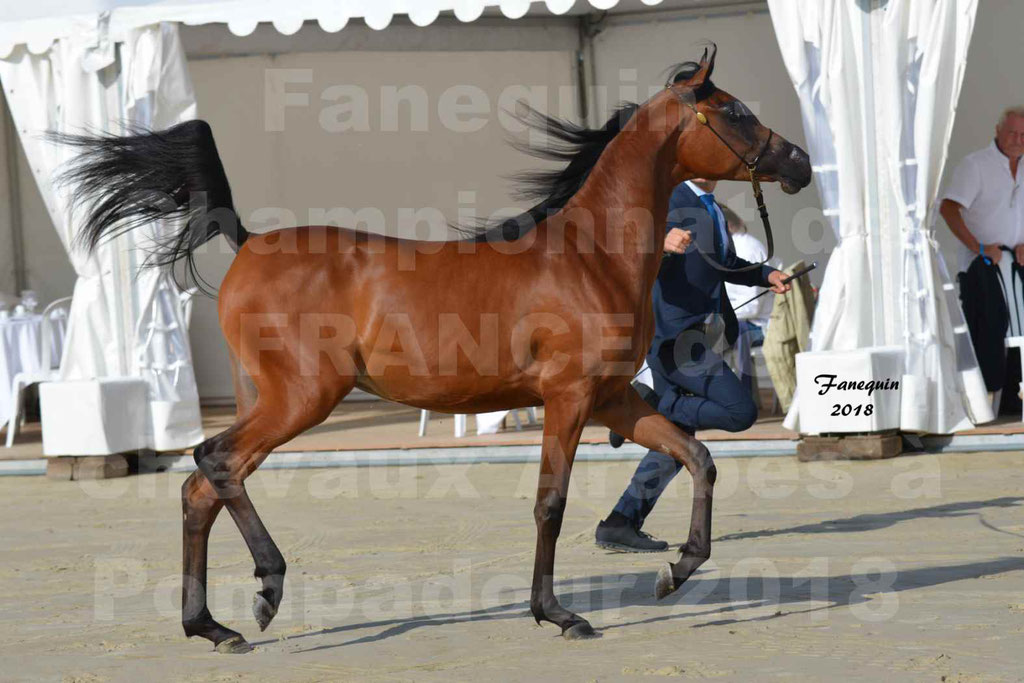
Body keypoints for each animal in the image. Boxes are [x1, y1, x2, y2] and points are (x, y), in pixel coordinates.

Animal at [59, 45, 811, 655]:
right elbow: (551, 502)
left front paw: (675, 570)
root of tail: (245, 240)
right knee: (214, 463)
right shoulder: (568, 398)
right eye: (736, 111)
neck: (589, 255)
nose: (800, 162)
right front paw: (559, 614)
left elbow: (696, 456)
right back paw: (266, 589)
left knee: (202, 487)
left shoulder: (613, 399)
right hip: (302, 399)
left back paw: (213, 627)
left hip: (268, 400)